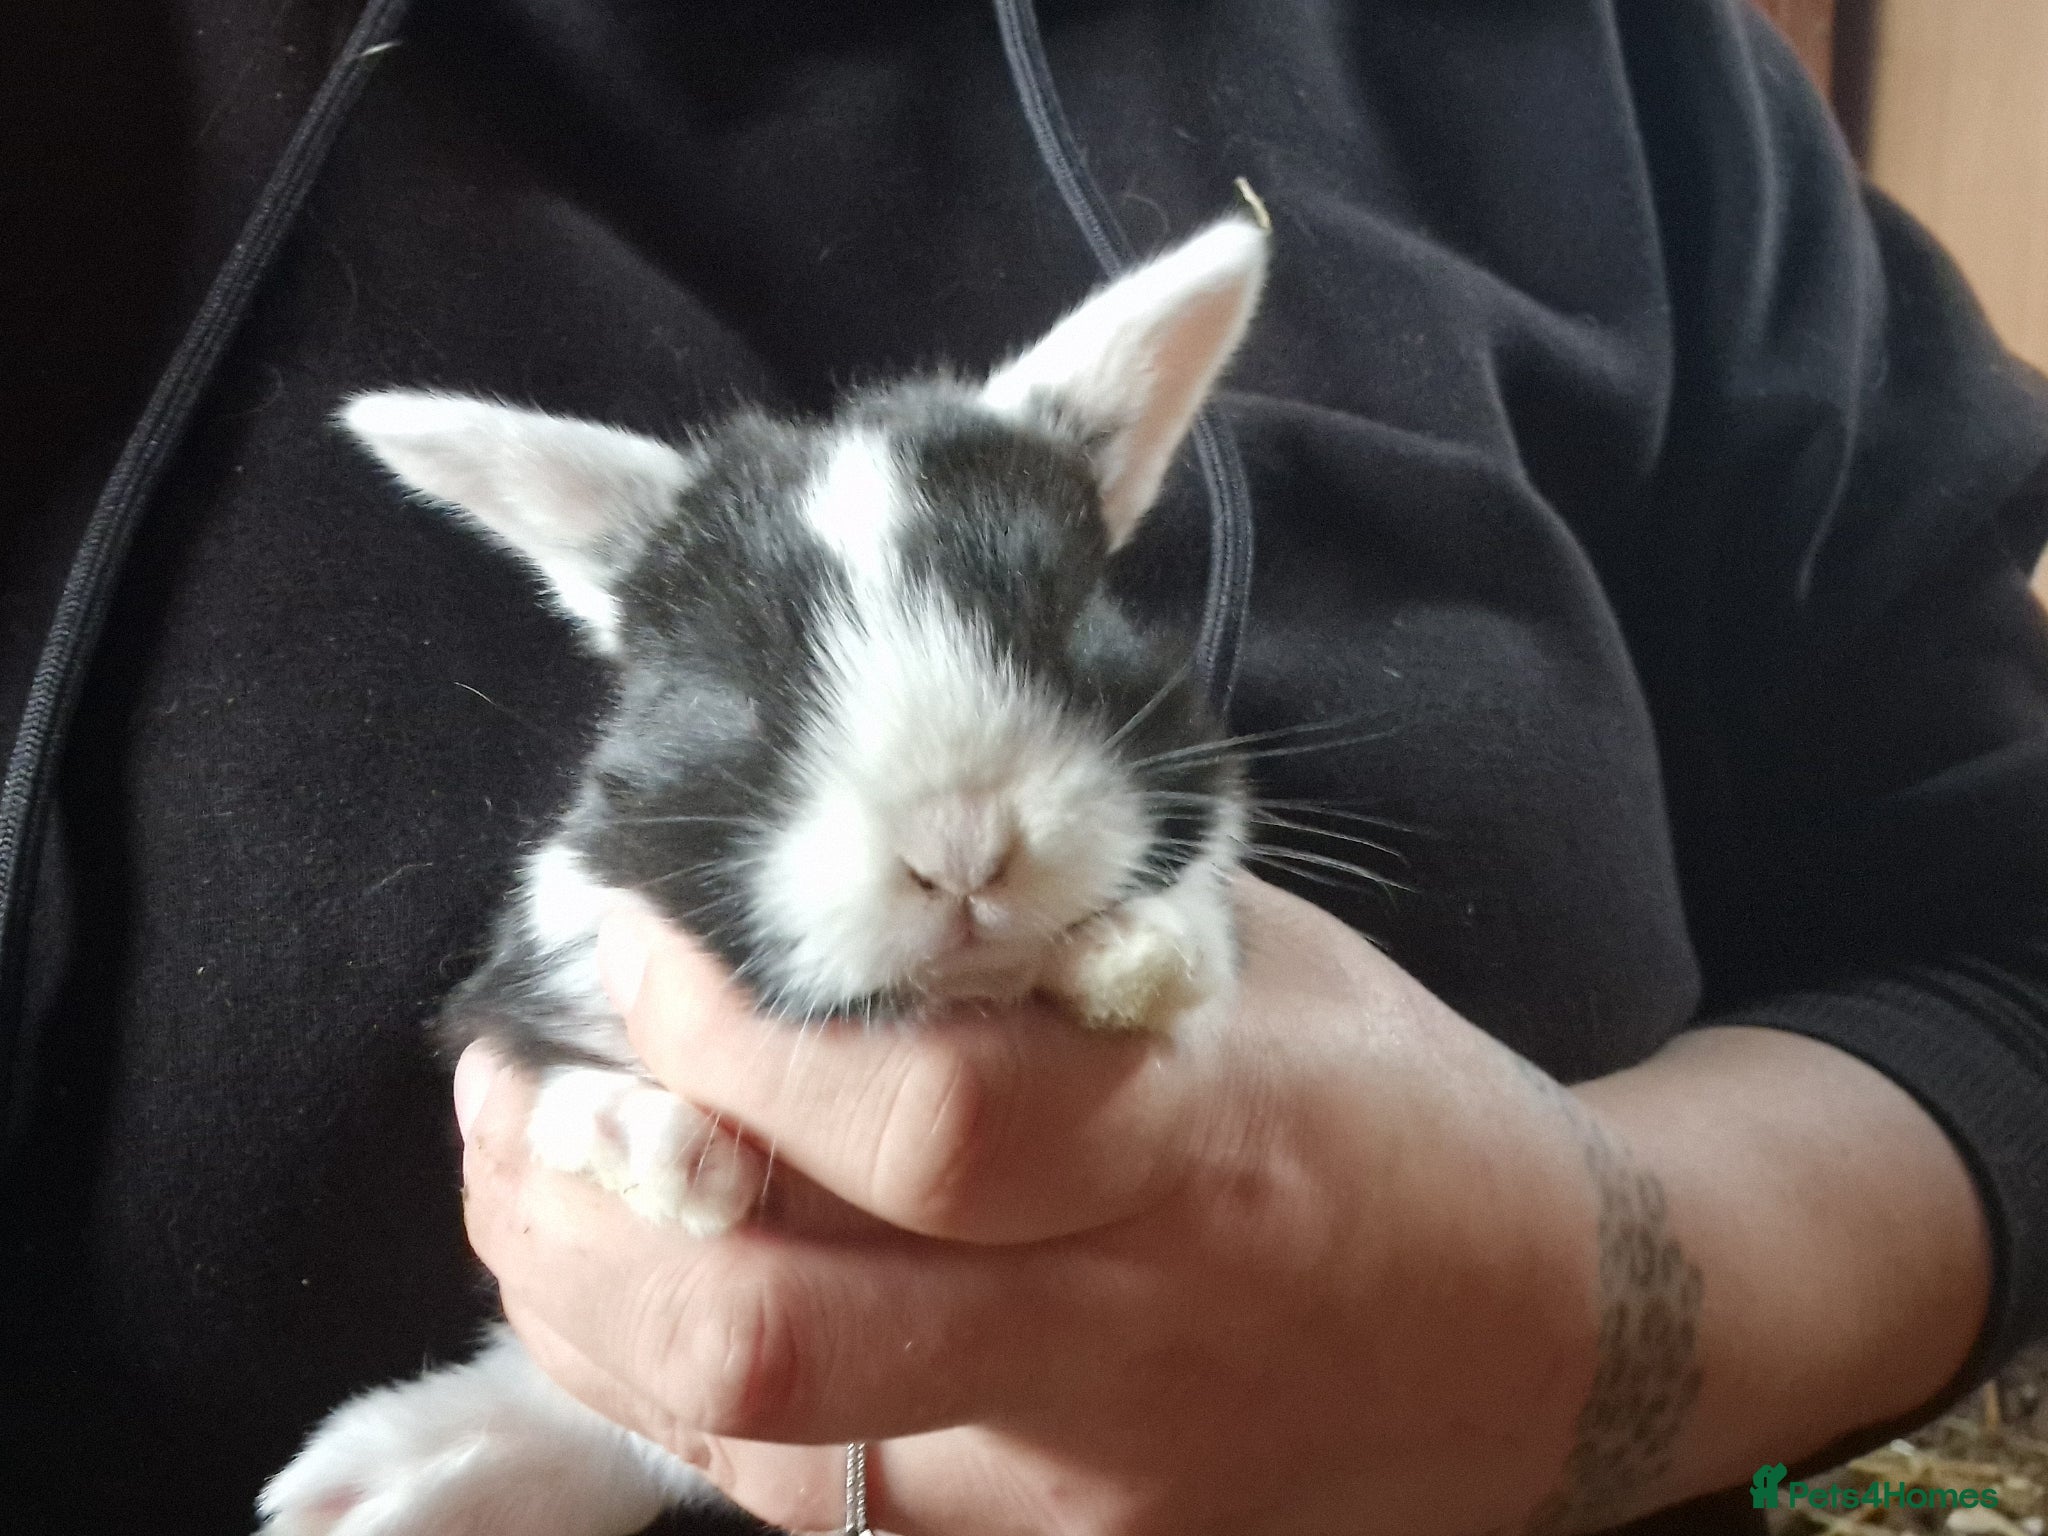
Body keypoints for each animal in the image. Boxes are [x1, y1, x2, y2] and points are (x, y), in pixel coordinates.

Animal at [258, 215, 1267, 1536]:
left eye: (1069, 625)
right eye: (740, 690)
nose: (959, 849)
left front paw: (1142, 958)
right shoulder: (540, 972)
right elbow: (550, 1075)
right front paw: (652, 1149)